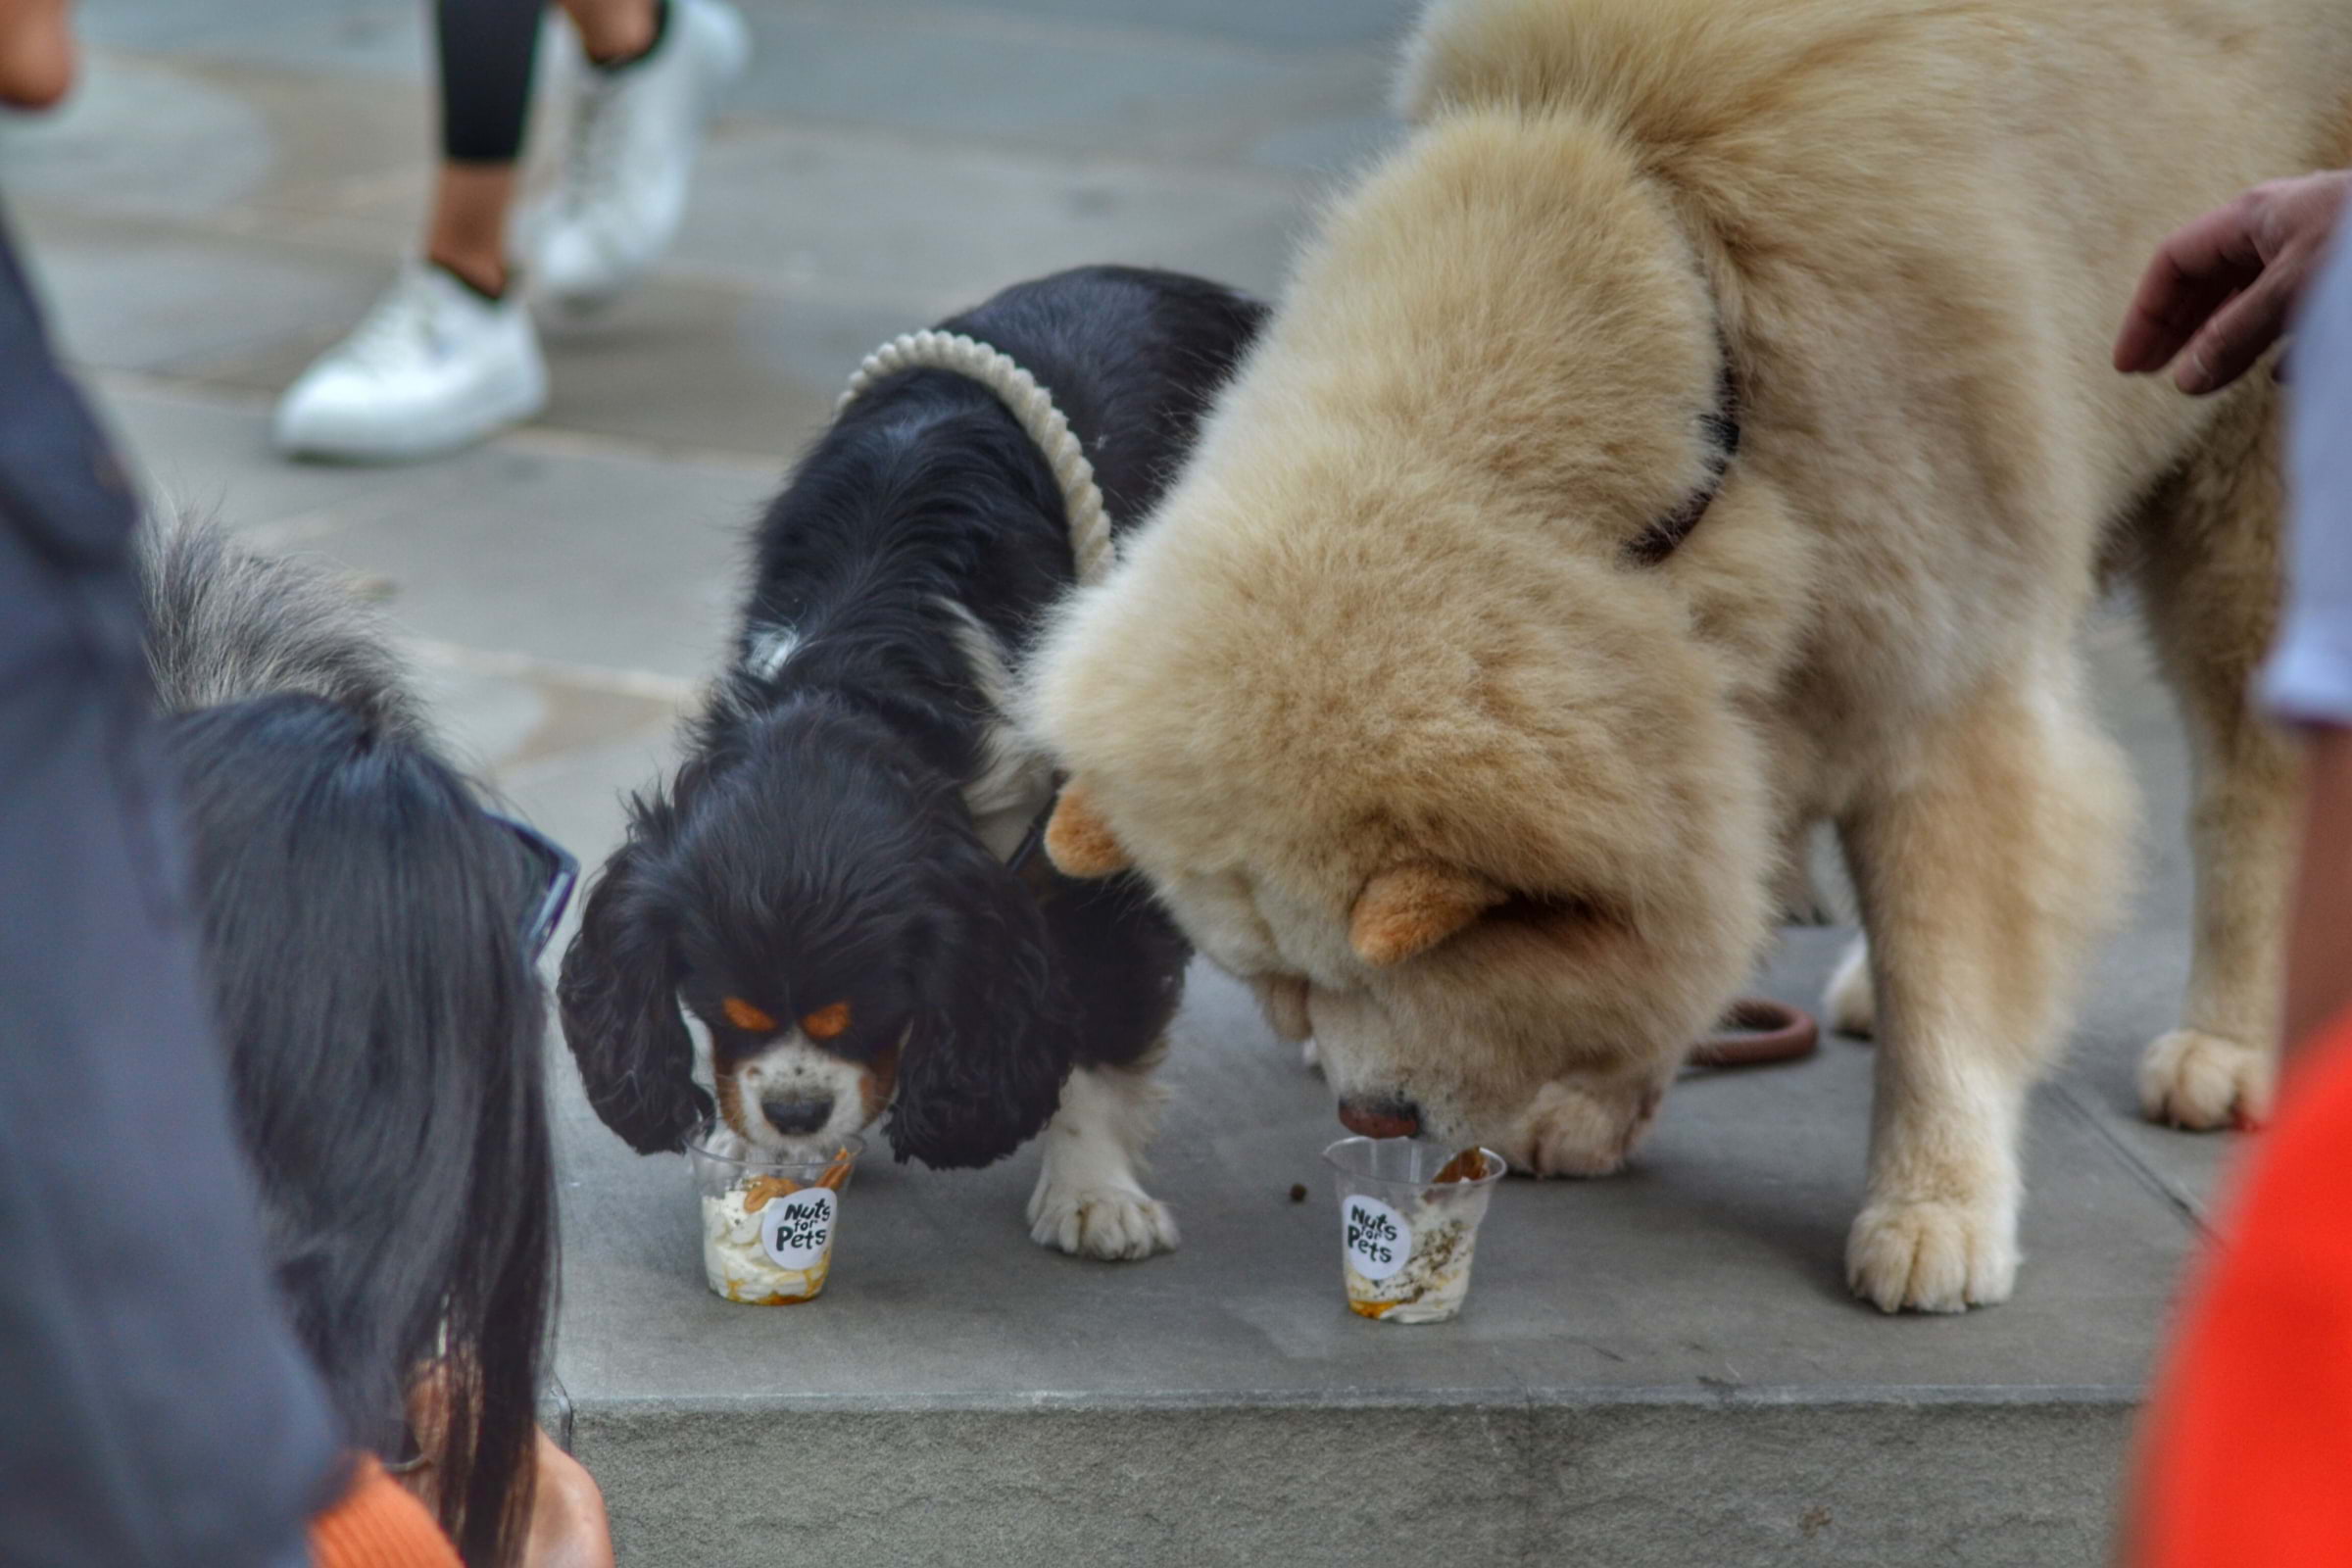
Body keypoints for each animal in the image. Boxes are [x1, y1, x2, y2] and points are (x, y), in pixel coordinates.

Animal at [1025, 0, 2352, 1316]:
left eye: (1410, 965)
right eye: (1283, 987)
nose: (1373, 1115)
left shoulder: (1937, 665)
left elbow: (1952, 970)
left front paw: (1935, 1206)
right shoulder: (1719, 700)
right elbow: (1689, 892)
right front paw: (1608, 1093)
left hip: (2250, 470)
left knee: (2249, 777)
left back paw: (2226, 1040)